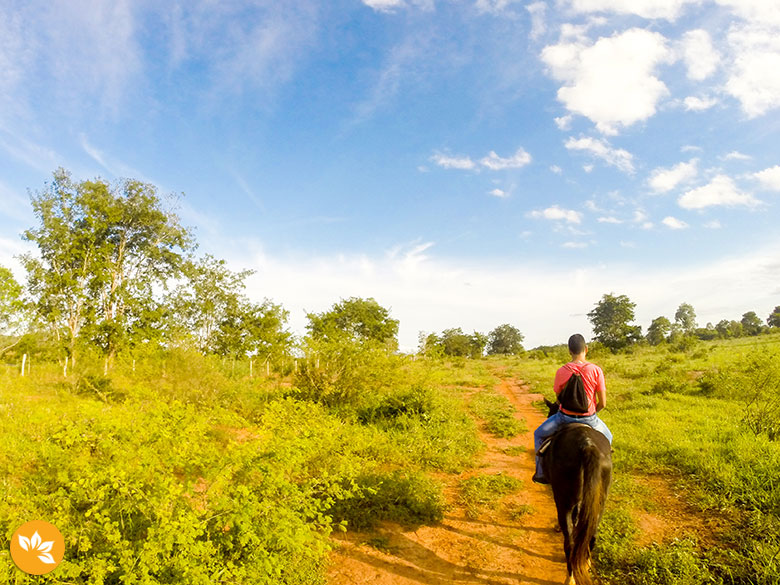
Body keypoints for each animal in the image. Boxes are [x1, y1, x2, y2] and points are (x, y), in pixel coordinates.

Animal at [540, 400, 612, 584]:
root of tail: (587, 445)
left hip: (565, 500)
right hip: (599, 501)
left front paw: (557, 527)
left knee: (570, 541)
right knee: (592, 535)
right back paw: (585, 564)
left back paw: (570, 577)